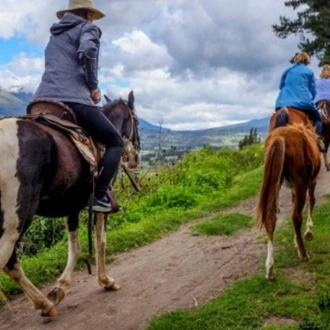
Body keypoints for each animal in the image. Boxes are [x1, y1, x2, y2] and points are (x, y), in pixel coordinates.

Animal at [0, 91, 141, 318]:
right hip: (16, 222)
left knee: (11, 264)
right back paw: (44, 304)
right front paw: (105, 280)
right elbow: (101, 241)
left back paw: (45, 304)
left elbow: (74, 247)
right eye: (136, 121)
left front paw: (60, 288)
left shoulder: (71, 204)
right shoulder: (99, 204)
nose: (134, 159)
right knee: (8, 261)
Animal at [256, 123, 320, 278]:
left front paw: (296, 240)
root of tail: (280, 137)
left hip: (276, 180)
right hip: (301, 182)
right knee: (296, 217)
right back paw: (303, 254)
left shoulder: (293, 188)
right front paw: (308, 233)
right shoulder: (311, 182)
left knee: (270, 219)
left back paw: (270, 268)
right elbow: (311, 201)